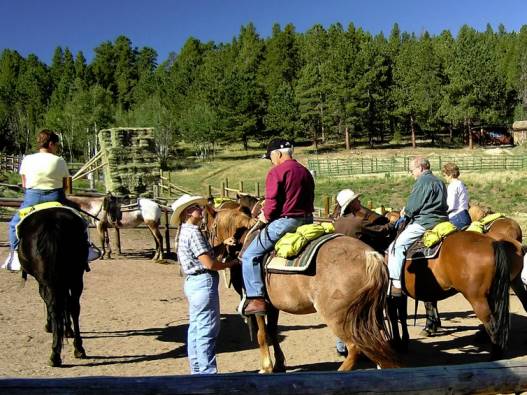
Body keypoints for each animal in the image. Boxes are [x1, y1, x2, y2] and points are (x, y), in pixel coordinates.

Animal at [17, 207, 88, 368]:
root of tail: (52, 223)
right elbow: (66, 304)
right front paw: (67, 330)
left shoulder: (43, 282)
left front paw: (50, 326)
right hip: (75, 276)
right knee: (73, 306)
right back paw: (78, 348)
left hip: (50, 280)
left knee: (54, 306)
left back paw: (55, 354)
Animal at [204, 207, 398, 374]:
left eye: (208, 227)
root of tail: (370, 256)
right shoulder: (272, 306)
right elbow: (272, 331)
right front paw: (279, 364)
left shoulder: (257, 303)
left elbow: (261, 333)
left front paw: (266, 367)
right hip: (370, 316)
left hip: (340, 318)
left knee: (355, 348)